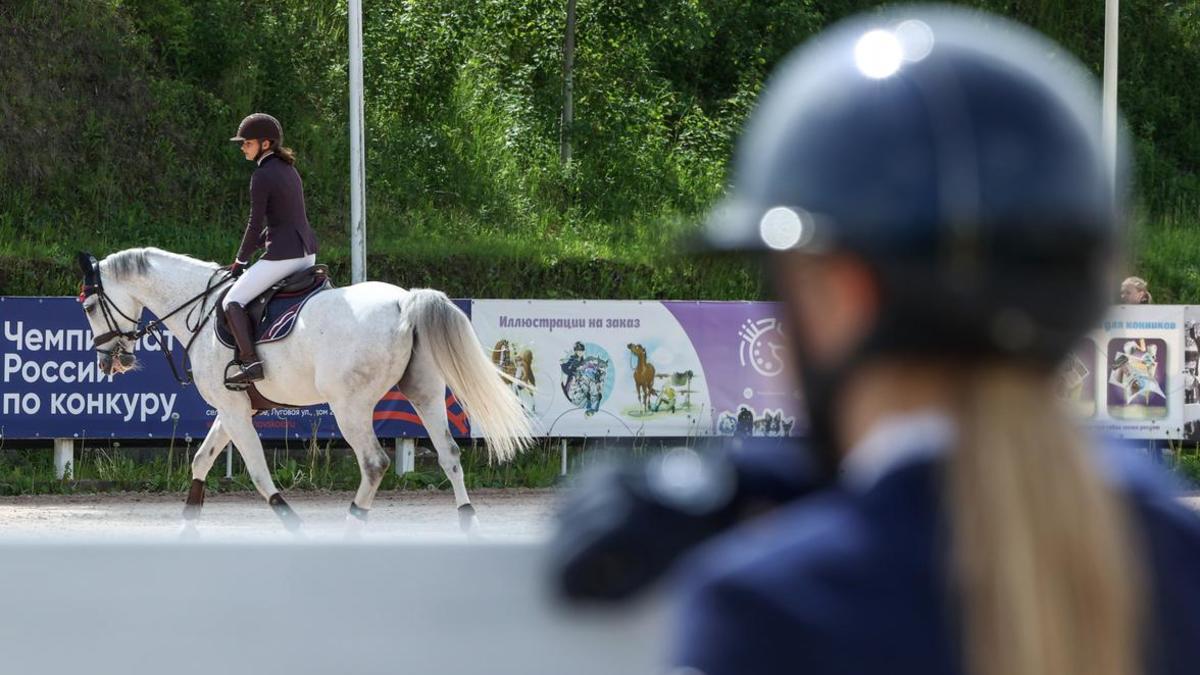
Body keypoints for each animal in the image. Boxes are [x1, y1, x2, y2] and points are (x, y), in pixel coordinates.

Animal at [72, 243, 528, 528]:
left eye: (90, 306)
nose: (109, 361)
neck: (197, 307)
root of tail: (404, 301)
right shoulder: (233, 408)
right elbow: (201, 461)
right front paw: (187, 528)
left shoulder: (234, 411)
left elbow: (258, 475)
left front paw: (293, 524)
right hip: (425, 394)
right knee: (450, 454)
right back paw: (468, 523)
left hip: (350, 406)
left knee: (374, 463)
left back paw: (351, 525)